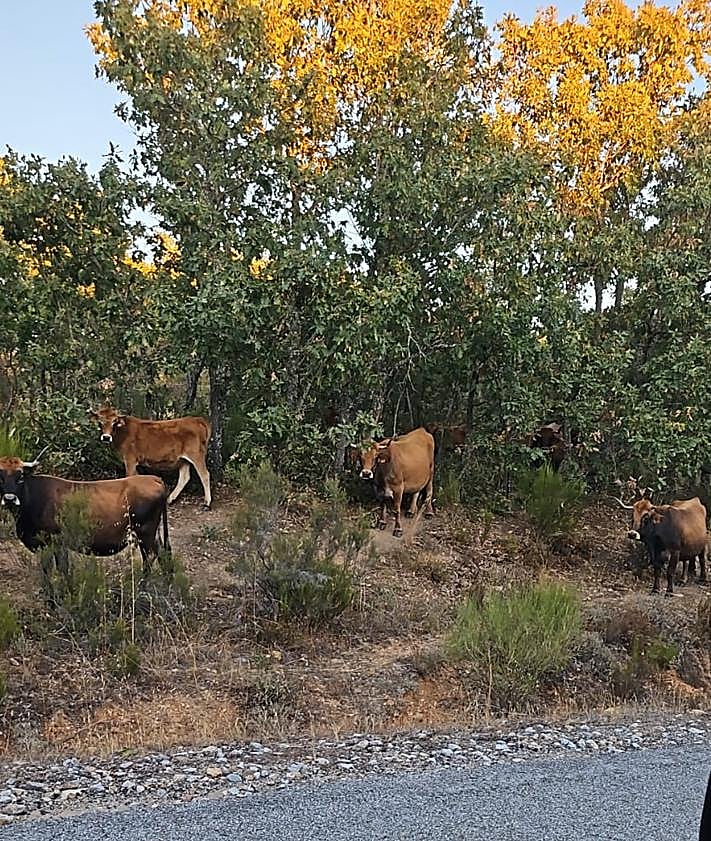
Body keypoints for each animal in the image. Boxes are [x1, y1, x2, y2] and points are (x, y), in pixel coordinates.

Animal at [0, 452, 170, 569]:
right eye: (0, 477)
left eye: (20, 477)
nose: (9, 498)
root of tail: (154, 479)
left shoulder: (57, 544)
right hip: (152, 534)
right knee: (163, 554)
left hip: (145, 533)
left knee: (150, 558)